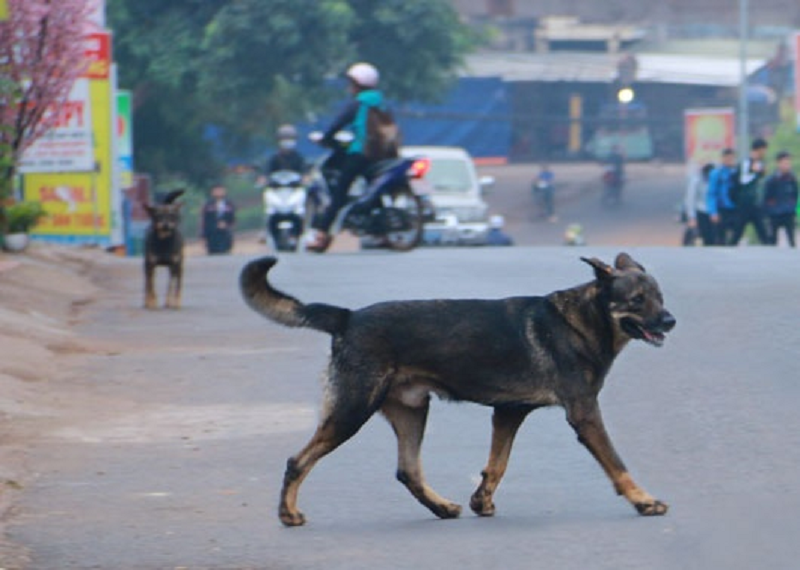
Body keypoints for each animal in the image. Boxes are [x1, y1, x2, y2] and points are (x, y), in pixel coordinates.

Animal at [239, 251, 676, 524]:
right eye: (637, 300)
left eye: (659, 296)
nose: (671, 321)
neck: (584, 318)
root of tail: (347, 317)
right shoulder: (584, 414)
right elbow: (617, 464)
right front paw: (644, 501)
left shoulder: (509, 412)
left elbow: (497, 464)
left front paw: (481, 500)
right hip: (351, 411)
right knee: (298, 460)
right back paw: (288, 515)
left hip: (412, 411)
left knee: (407, 471)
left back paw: (443, 508)